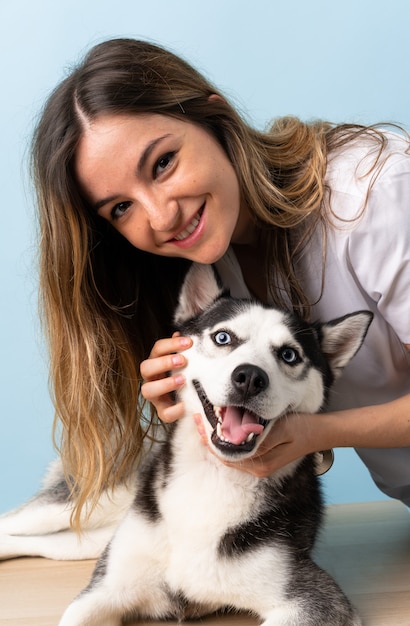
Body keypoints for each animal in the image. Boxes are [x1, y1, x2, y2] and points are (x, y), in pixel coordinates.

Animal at [0, 264, 372, 624]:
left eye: (289, 355)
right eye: (223, 337)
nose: (250, 377)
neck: (210, 479)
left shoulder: (311, 598)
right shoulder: (104, 591)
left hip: (85, 540)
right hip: (80, 506)